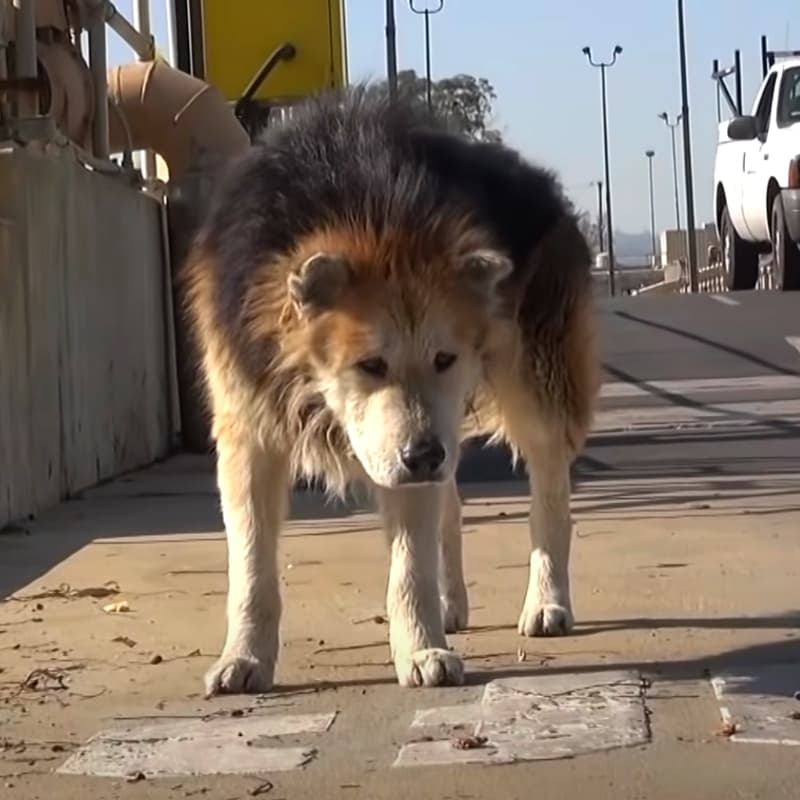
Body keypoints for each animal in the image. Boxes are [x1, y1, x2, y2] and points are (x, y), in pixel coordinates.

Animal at [183, 86, 600, 692]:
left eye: (445, 358)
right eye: (370, 364)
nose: (422, 456)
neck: (365, 210)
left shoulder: (417, 444)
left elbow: (410, 567)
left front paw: (421, 649)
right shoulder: (249, 429)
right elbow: (252, 567)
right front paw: (244, 657)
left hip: (535, 384)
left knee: (548, 495)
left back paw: (547, 601)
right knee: (452, 498)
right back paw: (452, 601)